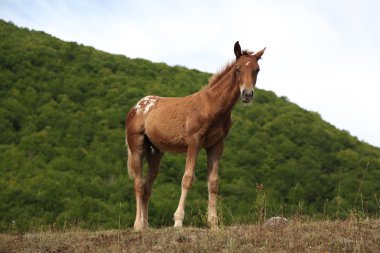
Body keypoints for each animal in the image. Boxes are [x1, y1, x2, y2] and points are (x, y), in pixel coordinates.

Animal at [124, 41, 264, 229]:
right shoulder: (194, 141)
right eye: (237, 69)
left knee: (147, 186)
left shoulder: (217, 144)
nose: (247, 94)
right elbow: (187, 178)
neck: (213, 107)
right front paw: (178, 221)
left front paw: (213, 223)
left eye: (257, 69)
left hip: (155, 152)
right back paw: (138, 224)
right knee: (138, 184)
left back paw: (146, 225)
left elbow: (213, 181)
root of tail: (135, 108)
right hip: (137, 145)